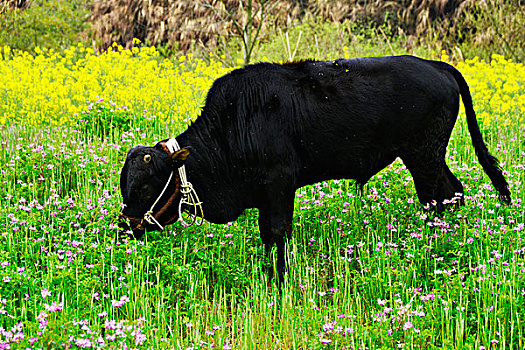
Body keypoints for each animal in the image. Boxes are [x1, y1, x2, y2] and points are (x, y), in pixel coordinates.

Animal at [117, 56, 508, 284]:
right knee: (452, 193)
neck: (234, 122)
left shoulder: (280, 184)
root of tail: (437, 65)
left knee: (438, 198)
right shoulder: (266, 195)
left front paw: (279, 281)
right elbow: (267, 236)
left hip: (423, 158)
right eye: (126, 185)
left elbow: (278, 233)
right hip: (429, 158)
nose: (126, 226)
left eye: (146, 186)